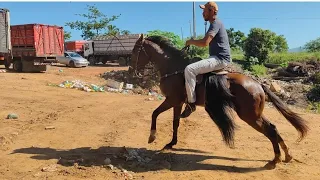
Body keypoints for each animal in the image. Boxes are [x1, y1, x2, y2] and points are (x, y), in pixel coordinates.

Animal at [129, 34, 308, 170]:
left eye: (135, 50)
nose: (132, 71)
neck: (173, 68)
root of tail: (258, 84)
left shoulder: (172, 99)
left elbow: (155, 113)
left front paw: (152, 136)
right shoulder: (178, 102)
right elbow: (175, 122)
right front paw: (172, 143)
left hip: (250, 116)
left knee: (270, 130)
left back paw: (275, 160)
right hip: (255, 114)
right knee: (273, 127)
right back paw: (286, 155)